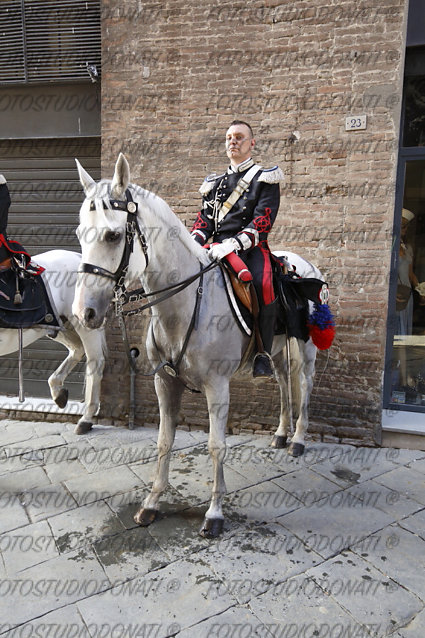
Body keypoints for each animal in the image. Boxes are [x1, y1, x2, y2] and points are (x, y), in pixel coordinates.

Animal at [0, 250, 106, 436]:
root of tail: (78, 257)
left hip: (85, 322)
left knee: (95, 362)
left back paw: (86, 419)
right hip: (59, 325)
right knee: (77, 350)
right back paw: (58, 393)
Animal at [73, 156, 322, 540]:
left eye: (113, 235)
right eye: (79, 234)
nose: (83, 312)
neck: (187, 301)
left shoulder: (217, 386)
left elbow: (216, 446)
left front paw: (215, 513)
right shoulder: (164, 382)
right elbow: (163, 441)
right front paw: (151, 503)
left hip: (305, 347)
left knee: (305, 384)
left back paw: (297, 439)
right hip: (278, 349)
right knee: (283, 380)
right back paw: (281, 434)